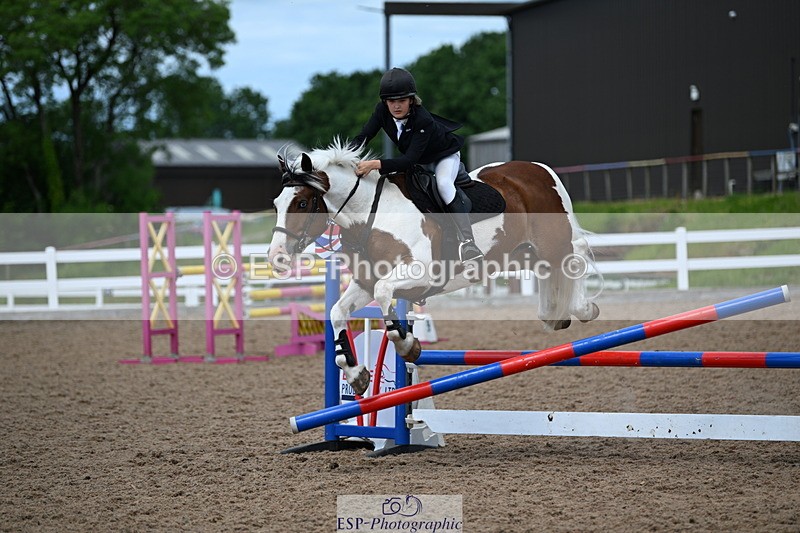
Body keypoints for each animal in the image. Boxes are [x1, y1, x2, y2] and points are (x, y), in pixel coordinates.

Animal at [268, 139, 599, 395]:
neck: (371, 216)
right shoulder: (364, 284)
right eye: (276, 203)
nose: (276, 257)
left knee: (576, 256)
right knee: (551, 270)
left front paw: (407, 344)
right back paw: (554, 314)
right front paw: (355, 373)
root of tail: (540, 169)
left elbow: (385, 294)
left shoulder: (418, 275)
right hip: (524, 252)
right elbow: (338, 312)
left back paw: (583, 308)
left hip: (554, 242)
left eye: (301, 203)